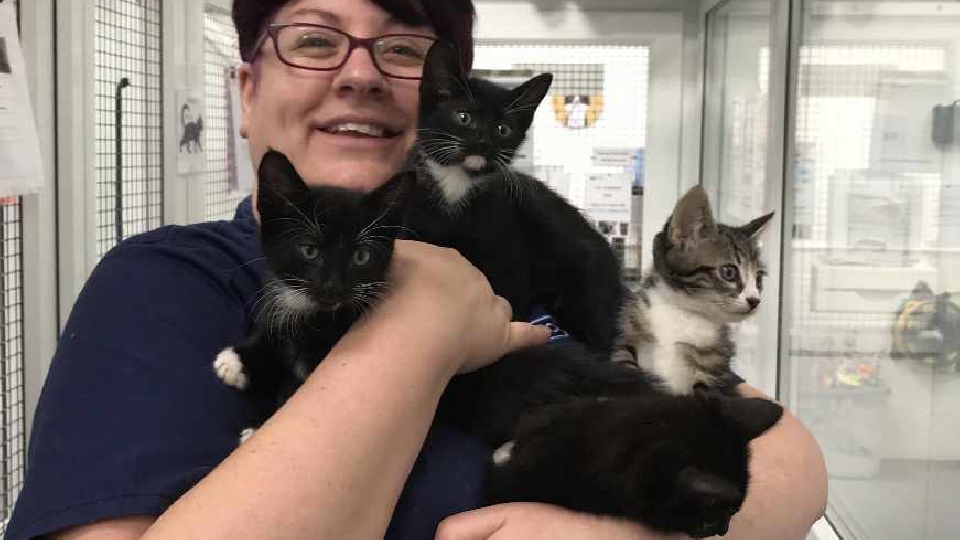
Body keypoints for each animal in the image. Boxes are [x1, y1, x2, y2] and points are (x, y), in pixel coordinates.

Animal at [214, 150, 412, 420]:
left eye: (361, 256)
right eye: (309, 250)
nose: (333, 285)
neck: (315, 317)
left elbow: (292, 389)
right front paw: (237, 360)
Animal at [406, 43, 624, 354]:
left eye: (503, 129)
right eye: (463, 117)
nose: (483, 141)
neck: (456, 183)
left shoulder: (506, 246)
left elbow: (512, 298)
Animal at [616, 187, 780, 396]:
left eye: (758, 279)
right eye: (729, 272)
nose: (755, 300)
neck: (685, 313)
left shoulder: (716, 372)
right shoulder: (629, 335)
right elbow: (625, 365)